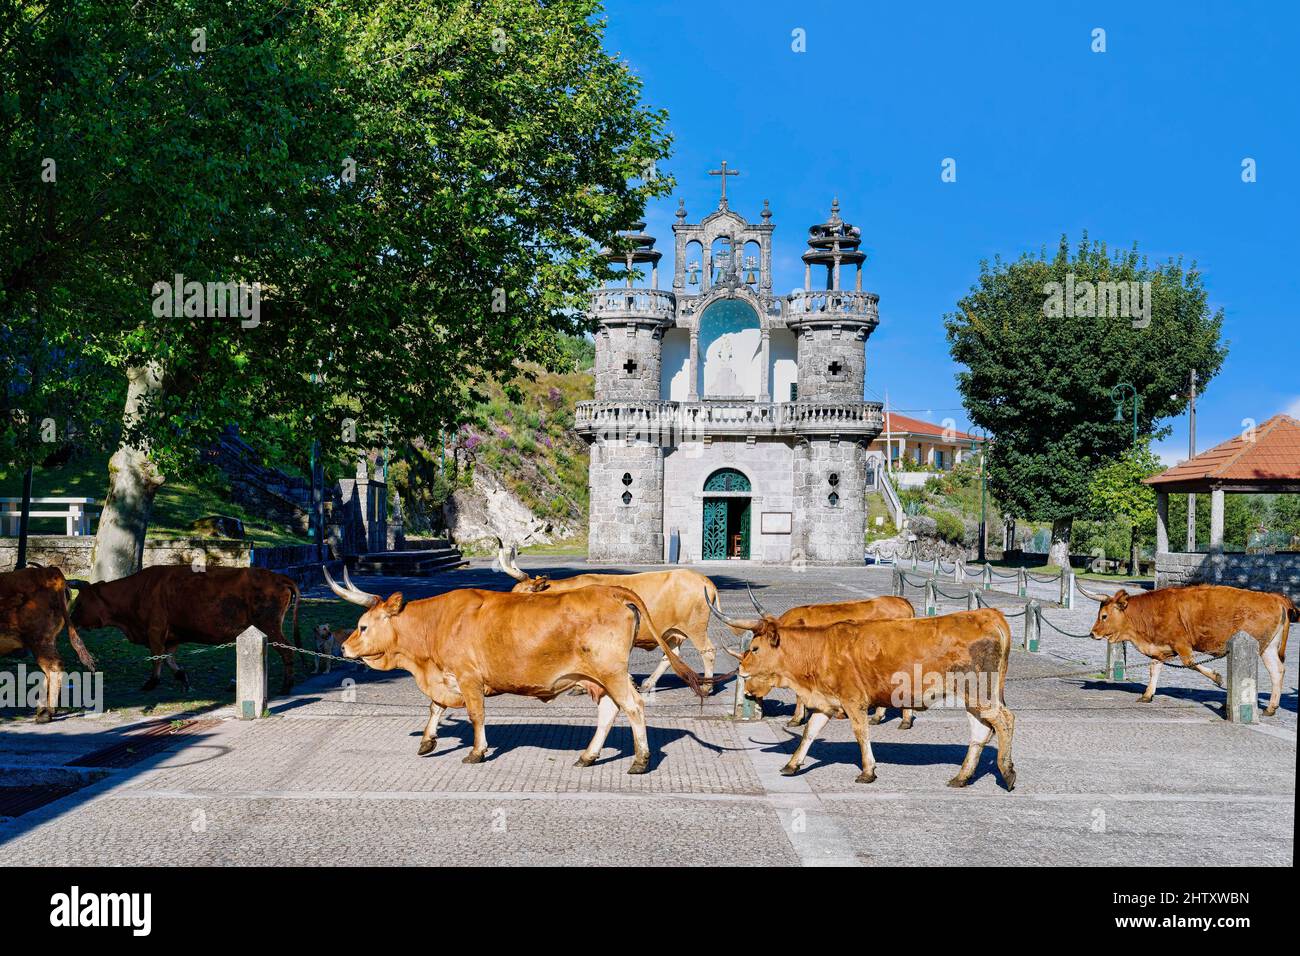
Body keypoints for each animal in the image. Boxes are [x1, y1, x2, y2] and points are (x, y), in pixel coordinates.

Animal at [0, 565, 96, 722]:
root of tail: (49, 572)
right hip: (47, 641)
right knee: (51, 669)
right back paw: (43, 709)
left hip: (39, 641)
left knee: (54, 667)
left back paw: (46, 713)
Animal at [68, 565, 301, 693]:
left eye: (79, 603)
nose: (70, 618)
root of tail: (279, 577)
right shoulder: (172, 637)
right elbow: (169, 660)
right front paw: (184, 679)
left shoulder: (155, 631)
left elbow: (157, 659)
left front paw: (151, 683)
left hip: (269, 626)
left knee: (288, 651)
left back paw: (287, 686)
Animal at [324, 566, 705, 773]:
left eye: (362, 627)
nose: (343, 648)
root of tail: (612, 590)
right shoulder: (446, 678)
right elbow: (435, 707)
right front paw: (428, 740)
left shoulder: (468, 678)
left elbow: (476, 715)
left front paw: (477, 752)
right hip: (600, 677)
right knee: (611, 711)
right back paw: (588, 755)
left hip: (611, 672)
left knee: (634, 706)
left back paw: (640, 760)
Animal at [496, 540, 721, 693]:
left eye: (522, 594)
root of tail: (703, 579)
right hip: (673, 633)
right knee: (669, 656)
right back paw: (647, 684)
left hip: (695, 628)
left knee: (708, 651)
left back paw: (707, 687)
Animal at [1085, 583, 1295, 715]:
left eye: (1104, 616)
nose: (1092, 633)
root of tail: (1275, 598)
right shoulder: (1160, 647)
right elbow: (1154, 668)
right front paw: (1147, 695)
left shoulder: (1181, 644)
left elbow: (1190, 663)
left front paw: (1217, 678)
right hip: (1268, 648)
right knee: (1277, 671)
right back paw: (1270, 708)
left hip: (1257, 646)